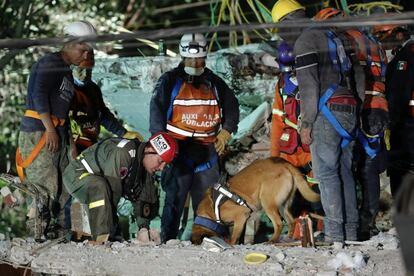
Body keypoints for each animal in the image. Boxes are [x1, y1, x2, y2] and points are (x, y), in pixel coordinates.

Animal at [191, 156, 320, 245]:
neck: (209, 212)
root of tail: (284, 164)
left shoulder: (241, 214)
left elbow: (234, 237)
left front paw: (231, 244)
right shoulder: (245, 220)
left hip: (268, 203)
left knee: (278, 223)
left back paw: (272, 240)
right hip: (283, 206)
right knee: (291, 221)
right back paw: (287, 239)